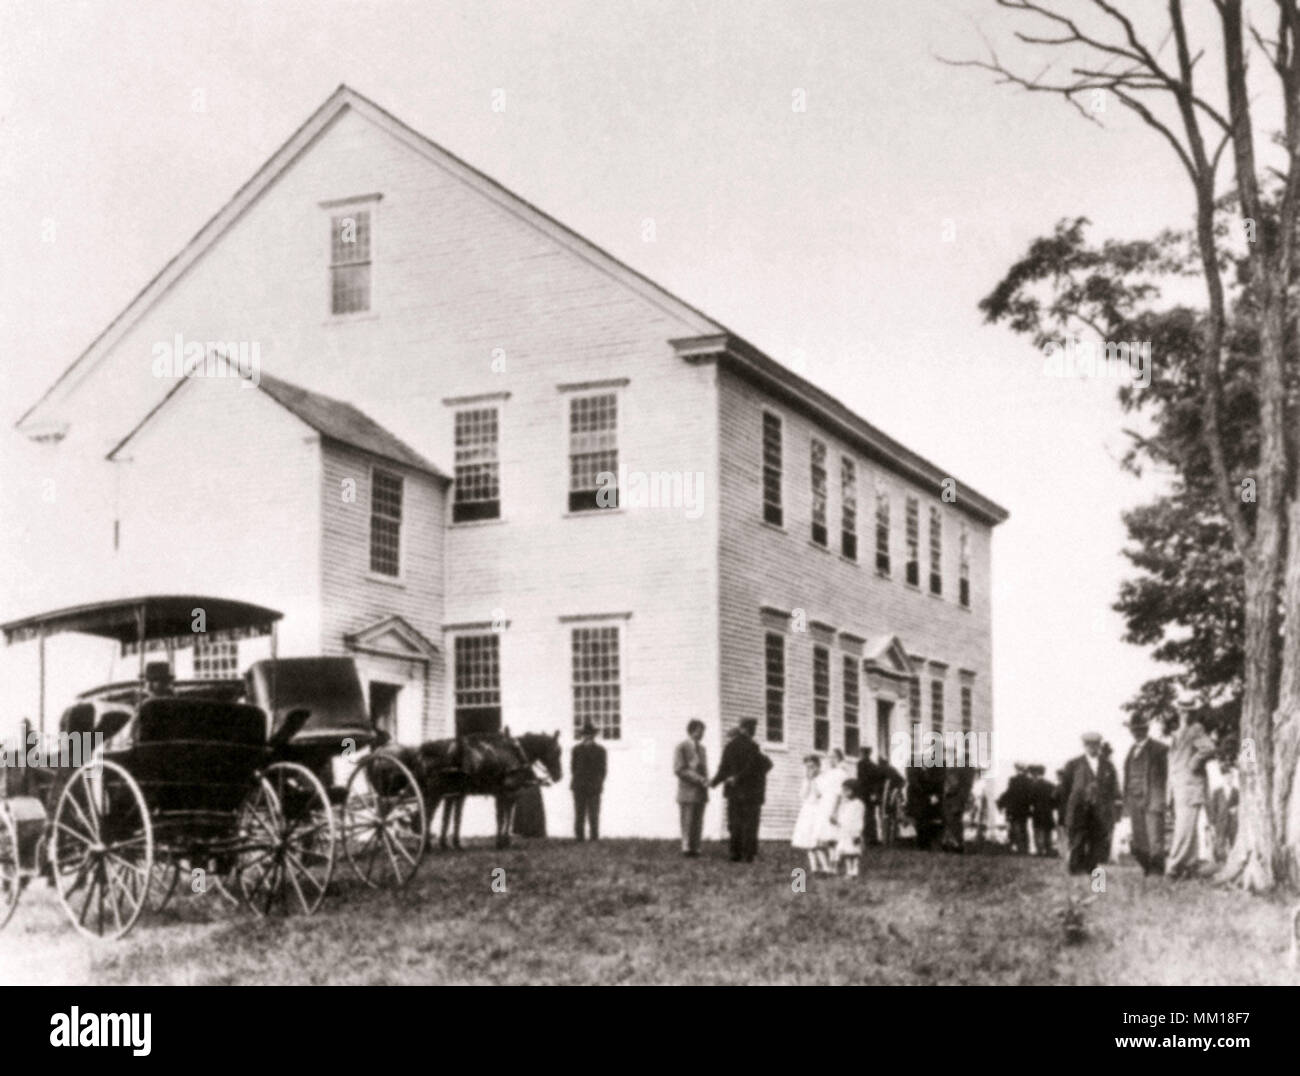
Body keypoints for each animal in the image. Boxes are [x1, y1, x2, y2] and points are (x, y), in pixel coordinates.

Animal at [377, 732, 559, 847]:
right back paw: (425, 843)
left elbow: (455, 818)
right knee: (427, 814)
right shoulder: (506, 792)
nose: (559, 776)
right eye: (558, 751)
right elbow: (503, 817)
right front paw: (502, 841)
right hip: (435, 792)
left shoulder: (465, 794)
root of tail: (422, 750)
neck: (515, 753)